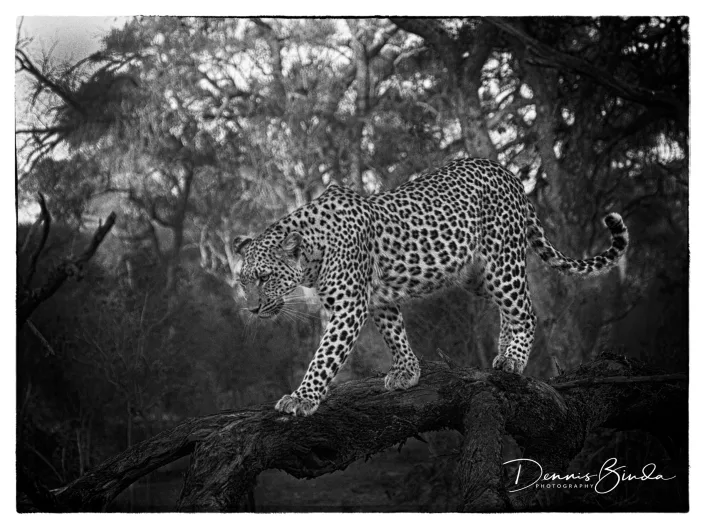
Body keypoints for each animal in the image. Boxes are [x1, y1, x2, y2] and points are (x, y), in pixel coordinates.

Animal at [233, 157, 629, 416]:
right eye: (242, 282)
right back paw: (502, 355)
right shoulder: (378, 300)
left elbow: (324, 357)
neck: (312, 254)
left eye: (265, 277)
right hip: (476, 275)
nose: (251, 308)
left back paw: (514, 359)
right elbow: (395, 334)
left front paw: (302, 398)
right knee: (509, 310)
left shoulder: (348, 307)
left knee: (526, 311)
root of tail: (509, 174)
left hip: (502, 262)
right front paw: (407, 373)